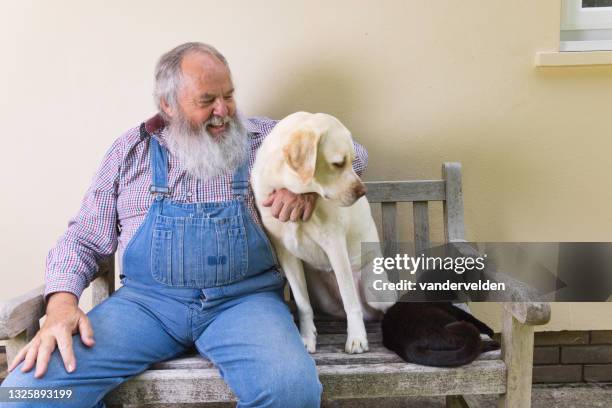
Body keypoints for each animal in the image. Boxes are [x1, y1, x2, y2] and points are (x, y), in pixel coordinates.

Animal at [250, 111, 384, 354]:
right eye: (338, 163)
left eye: (352, 160)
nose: (363, 191)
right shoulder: (285, 253)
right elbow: (303, 304)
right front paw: (307, 337)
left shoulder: (335, 245)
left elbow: (350, 301)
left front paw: (356, 338)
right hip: (324, 298)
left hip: (376, 292)